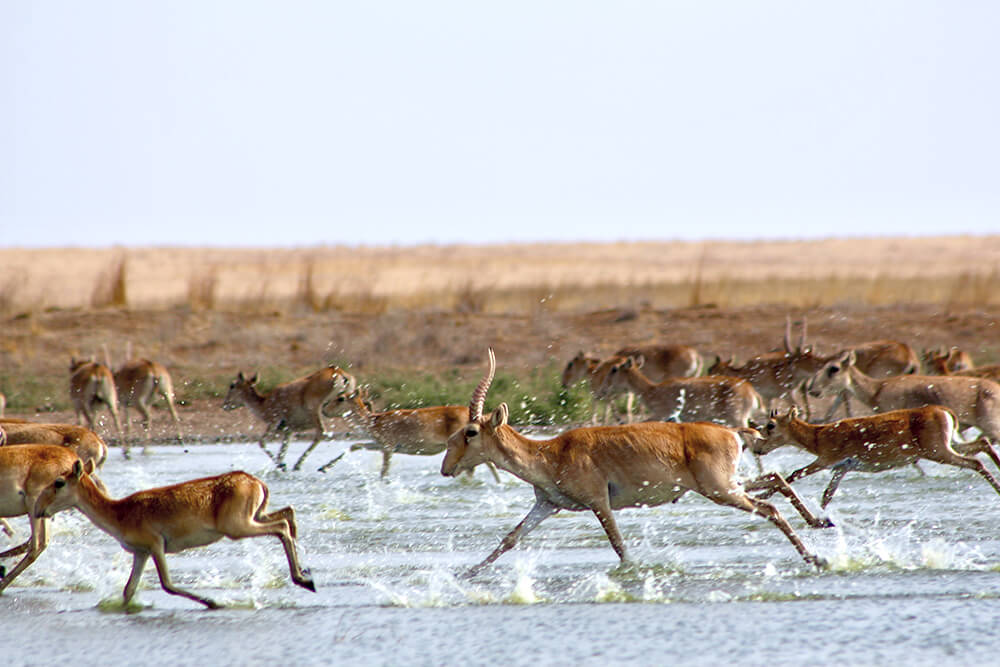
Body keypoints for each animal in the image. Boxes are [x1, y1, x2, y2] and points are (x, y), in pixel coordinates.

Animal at [34, 464, 316, 612]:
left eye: (59, 482)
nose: (38, 509)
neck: (119, 513)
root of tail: (255, 481)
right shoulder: (141, 552)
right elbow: (129, 590)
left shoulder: (156, 546)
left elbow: (167, 584)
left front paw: (213, 601)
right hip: (255, 515)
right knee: (287, 514)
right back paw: (304, 572)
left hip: (238, 527)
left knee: (281, 527)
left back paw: (303, 579)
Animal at [222, 366, 356, 470]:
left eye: (232, 385)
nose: (224, 405)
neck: (264, 403)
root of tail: (339, 373)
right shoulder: (289, 430)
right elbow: (282, 451)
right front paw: (281, 466)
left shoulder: (274, 422)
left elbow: (262, 442)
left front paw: (282, 465)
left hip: (316, 412)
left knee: (321, 433)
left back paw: (300, 464)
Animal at [320, 392, 500, 480]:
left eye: (340, 398)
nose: (323, 409)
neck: (373, 422)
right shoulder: (382, 445)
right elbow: (354, 445)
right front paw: (323, 467)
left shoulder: (388, 446)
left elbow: (384, 470)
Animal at [444, 350, 828, 576]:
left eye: (470, 432)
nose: (446, 468)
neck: (551, 453)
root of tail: (733, 431)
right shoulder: (549, 505)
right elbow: (510, 538)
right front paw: (466, 573)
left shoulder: (599, 502)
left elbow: (618, 545)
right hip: (726, 485)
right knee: (776, 478)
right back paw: (821, 522)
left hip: (721, 490)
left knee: (769, 508)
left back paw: (816, 557)